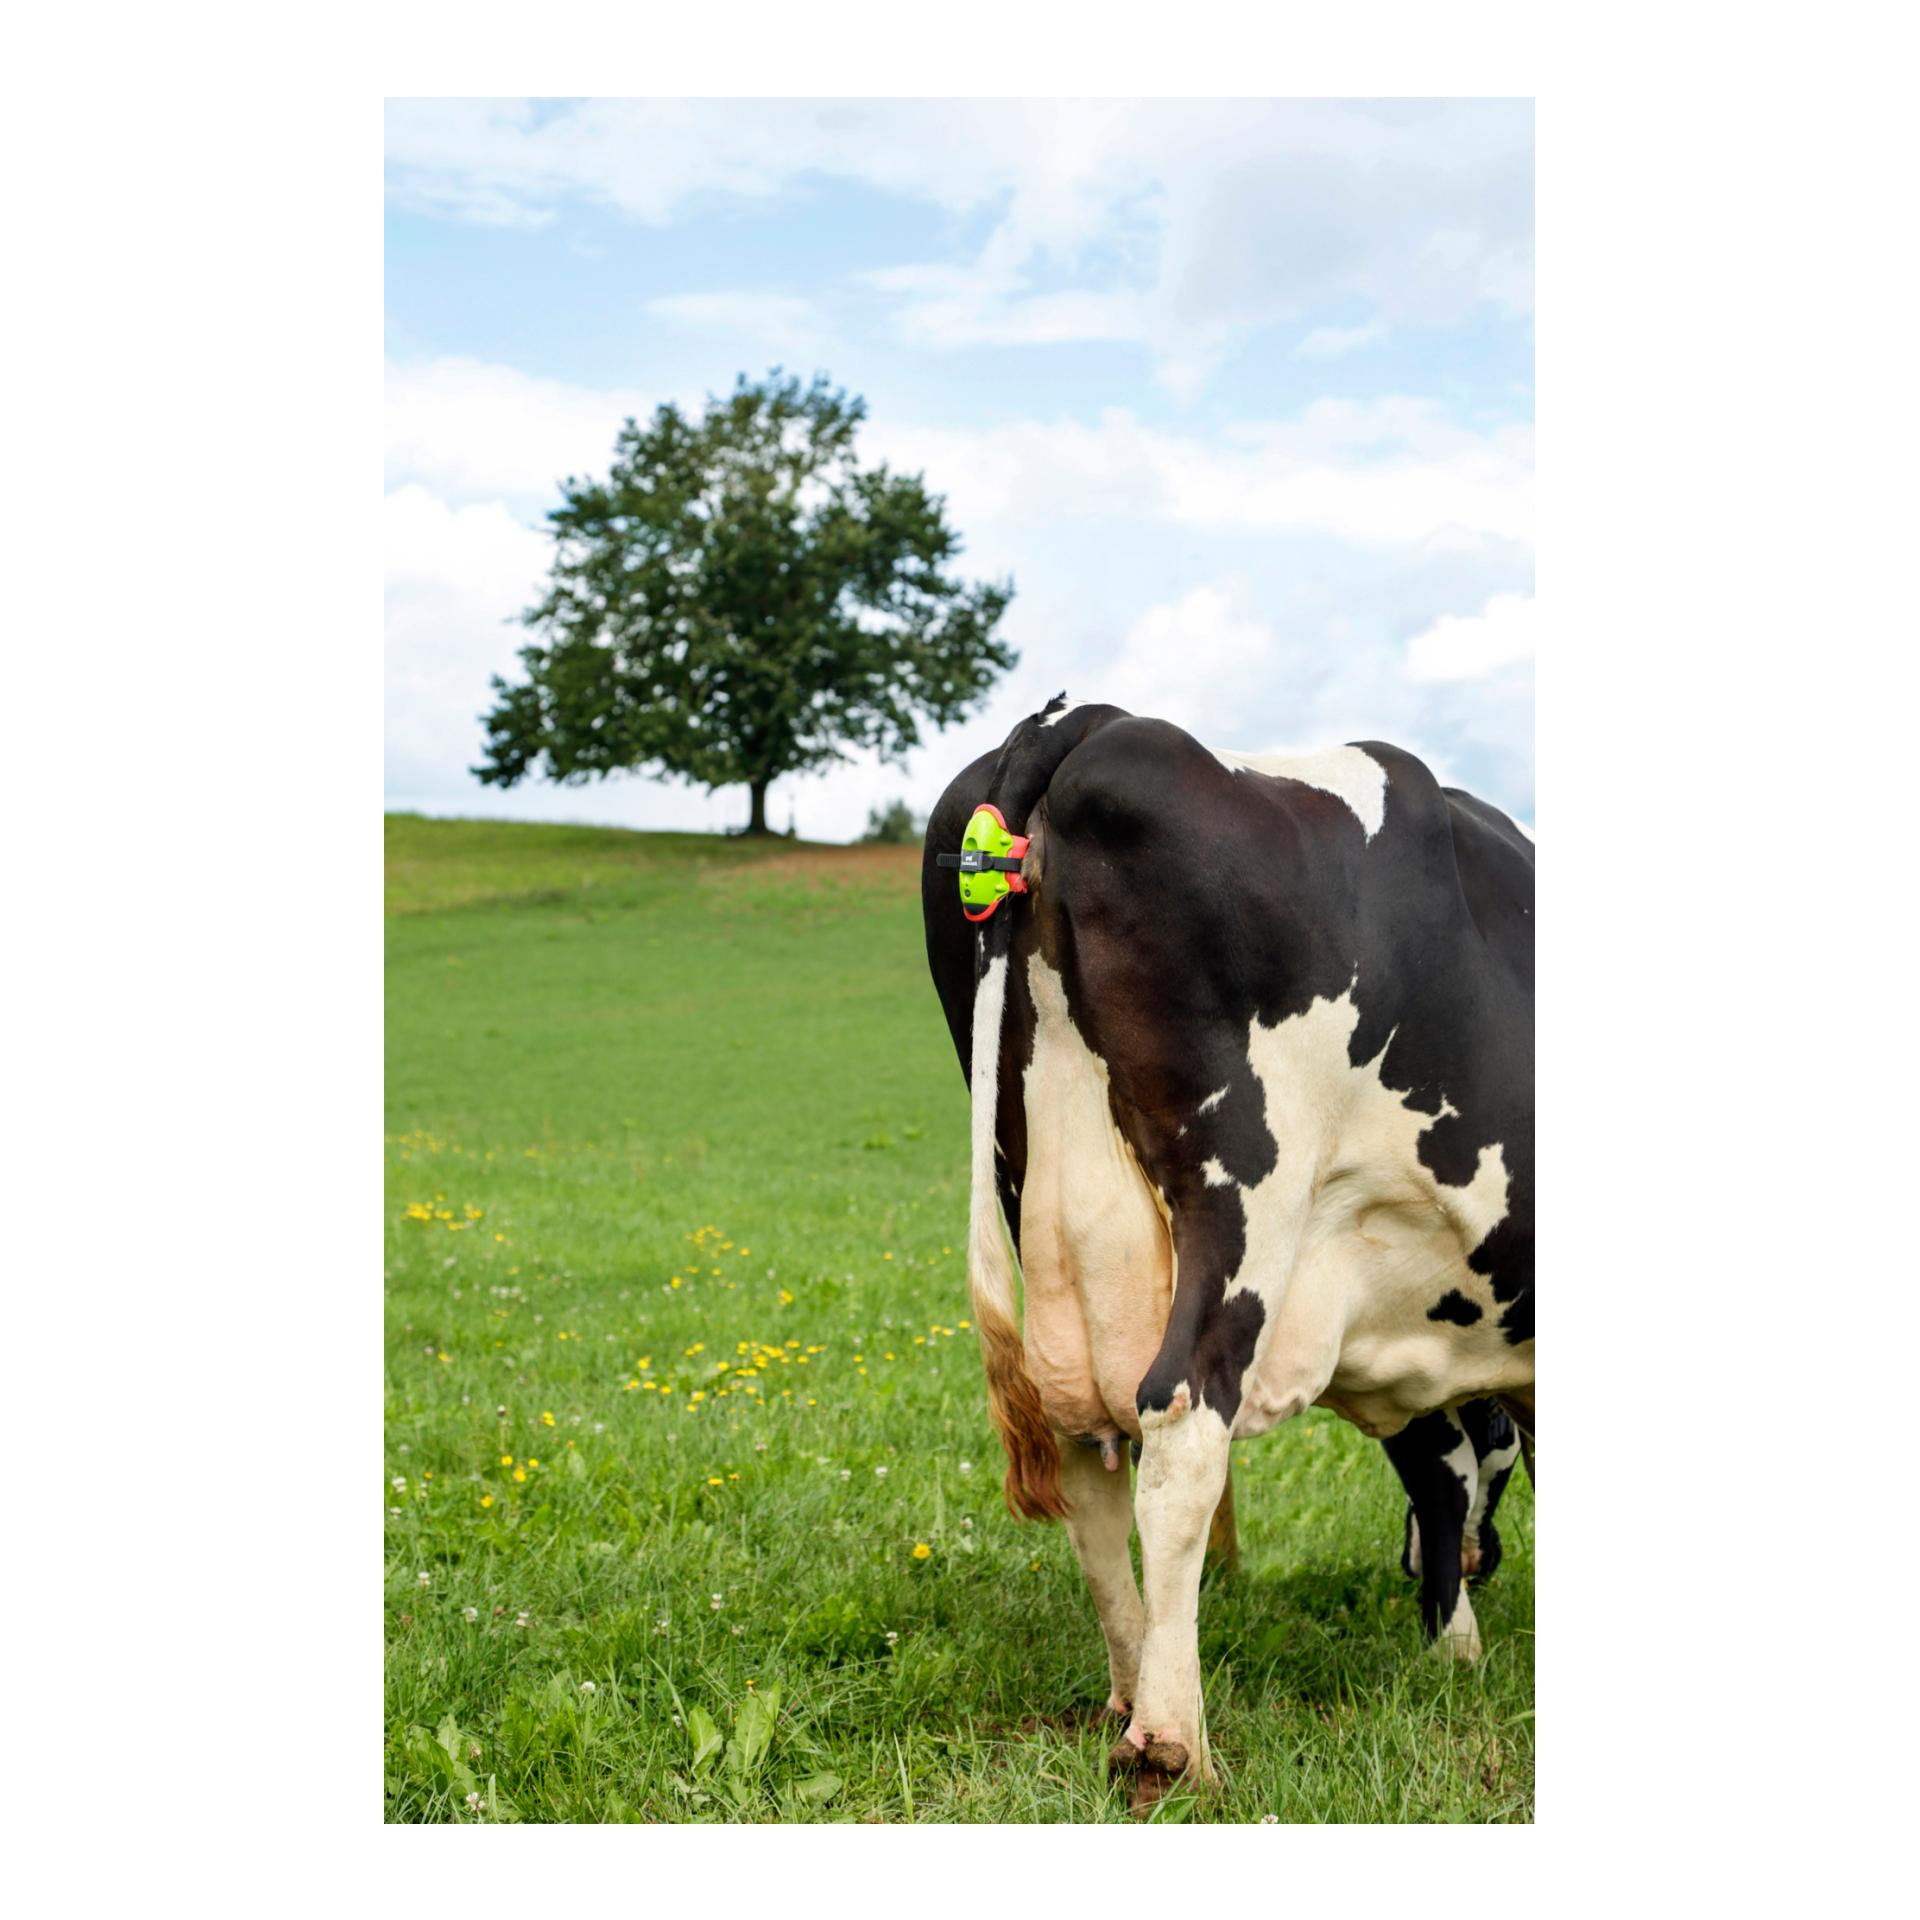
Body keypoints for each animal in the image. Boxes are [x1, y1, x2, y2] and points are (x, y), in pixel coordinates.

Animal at [921, 695, 1534, 1803]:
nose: (1486, 1562)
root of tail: (1086, 720)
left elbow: (1434, 1467)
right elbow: (1463, 1464)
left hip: (1041, 1190)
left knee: (1086, 1449)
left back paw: (1129, 1693)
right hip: (1244, 1204)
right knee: (1181, 1421)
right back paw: (1174, 1744)